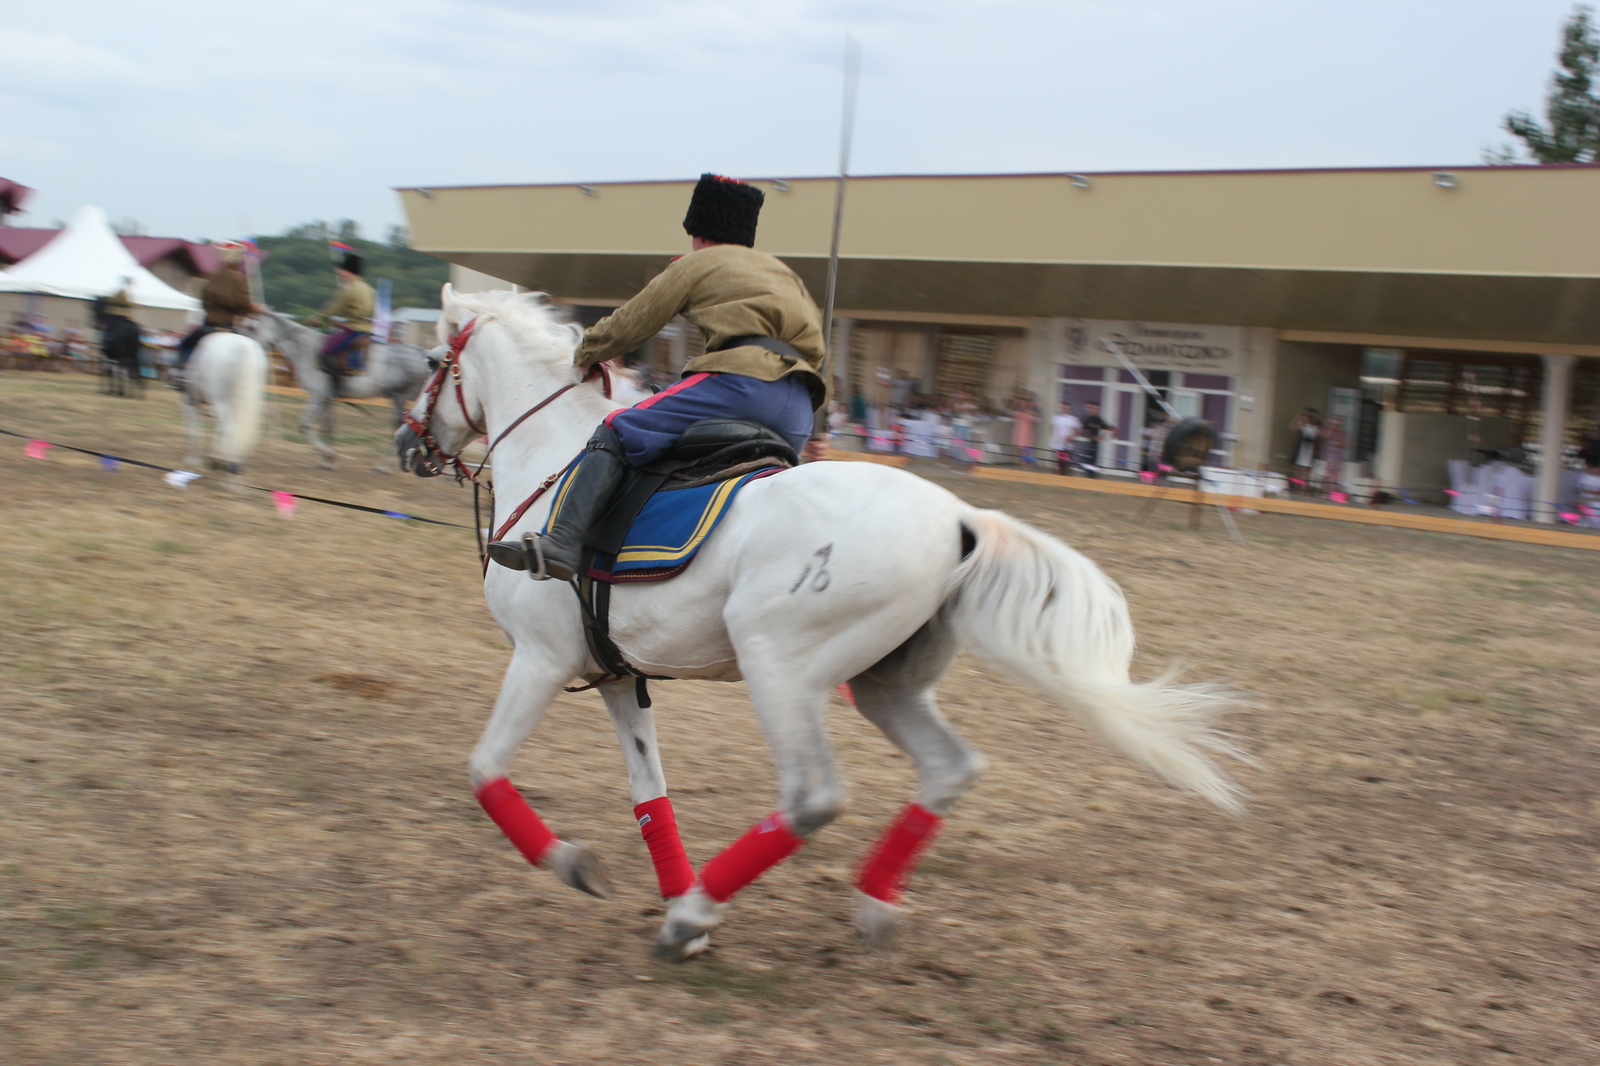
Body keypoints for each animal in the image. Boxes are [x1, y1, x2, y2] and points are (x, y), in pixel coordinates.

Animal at [183, 326, 268, 480]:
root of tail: (242, 345)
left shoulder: (191, 402)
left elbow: (194, 431)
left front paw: (192, 462)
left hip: (217, 403)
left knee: (229, 428)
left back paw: (222, 462)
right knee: (236, 430)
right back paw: (232, 463)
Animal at [246, 308, 432, 470]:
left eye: (251, 327)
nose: (246, 346)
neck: (306, 349)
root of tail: (424, 354)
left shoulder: (318, 397)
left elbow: (305, 425)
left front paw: (327, 454)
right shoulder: (325, 399)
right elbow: (328, 426)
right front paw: (327, 460)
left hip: (400, 397)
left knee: (400, 427)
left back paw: (383, 465)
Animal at [400, 286, 1248, 960]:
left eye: (434, 359)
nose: (408, 441)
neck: (556, 462)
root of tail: (962, 519)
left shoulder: (540, 660)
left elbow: (485, 769)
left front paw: (582, 868)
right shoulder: (618, 680)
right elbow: (651, 798)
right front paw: (673, 896)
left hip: (779, 667)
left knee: (813, 797)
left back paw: (702, 911)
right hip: (883, 684)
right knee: (949, 768)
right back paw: (862, 902)